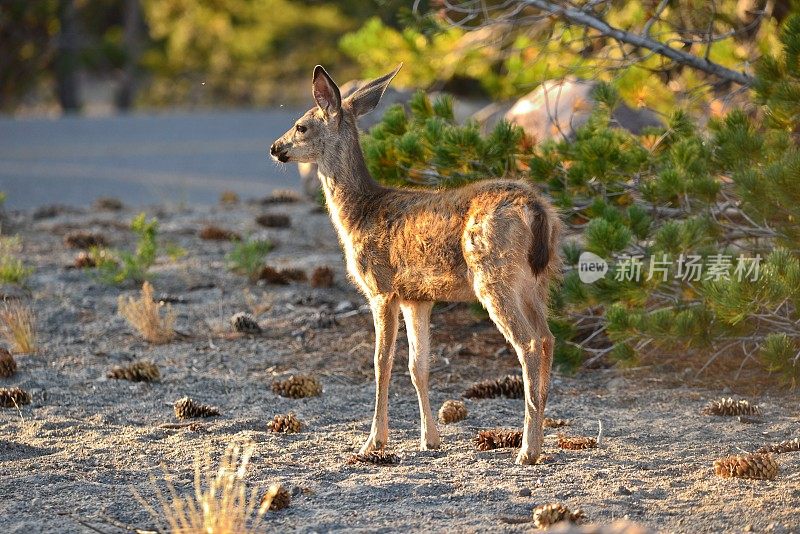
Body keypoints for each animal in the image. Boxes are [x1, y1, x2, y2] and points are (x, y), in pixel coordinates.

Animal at [268, 63, 564, 464]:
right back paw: (537, 440)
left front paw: (374, 441)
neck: (359, 214)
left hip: (494, 276)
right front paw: (430, 439)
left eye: (300, 125)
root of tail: (537, 210)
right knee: (547, 338)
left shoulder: (381, 287)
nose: (275, 147)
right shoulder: (417, 296)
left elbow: (381, 363)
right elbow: (417, 367)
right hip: (538, 280)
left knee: (529, 343)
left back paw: (527, 450)